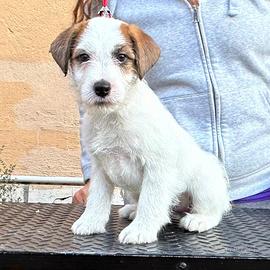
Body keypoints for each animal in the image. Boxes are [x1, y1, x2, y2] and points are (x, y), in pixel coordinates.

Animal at [50, 16, 230, 245]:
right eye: (83, 57)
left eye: (121, 57)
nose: (102, 88)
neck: (115, 115)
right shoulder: (100, 168)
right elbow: (97, 198)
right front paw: (90, 222)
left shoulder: (157, 167)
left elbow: (151, 201)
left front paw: (141, 230)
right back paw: (133, 210)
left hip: (204, 181)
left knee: (214, 209)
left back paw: (199, 219)